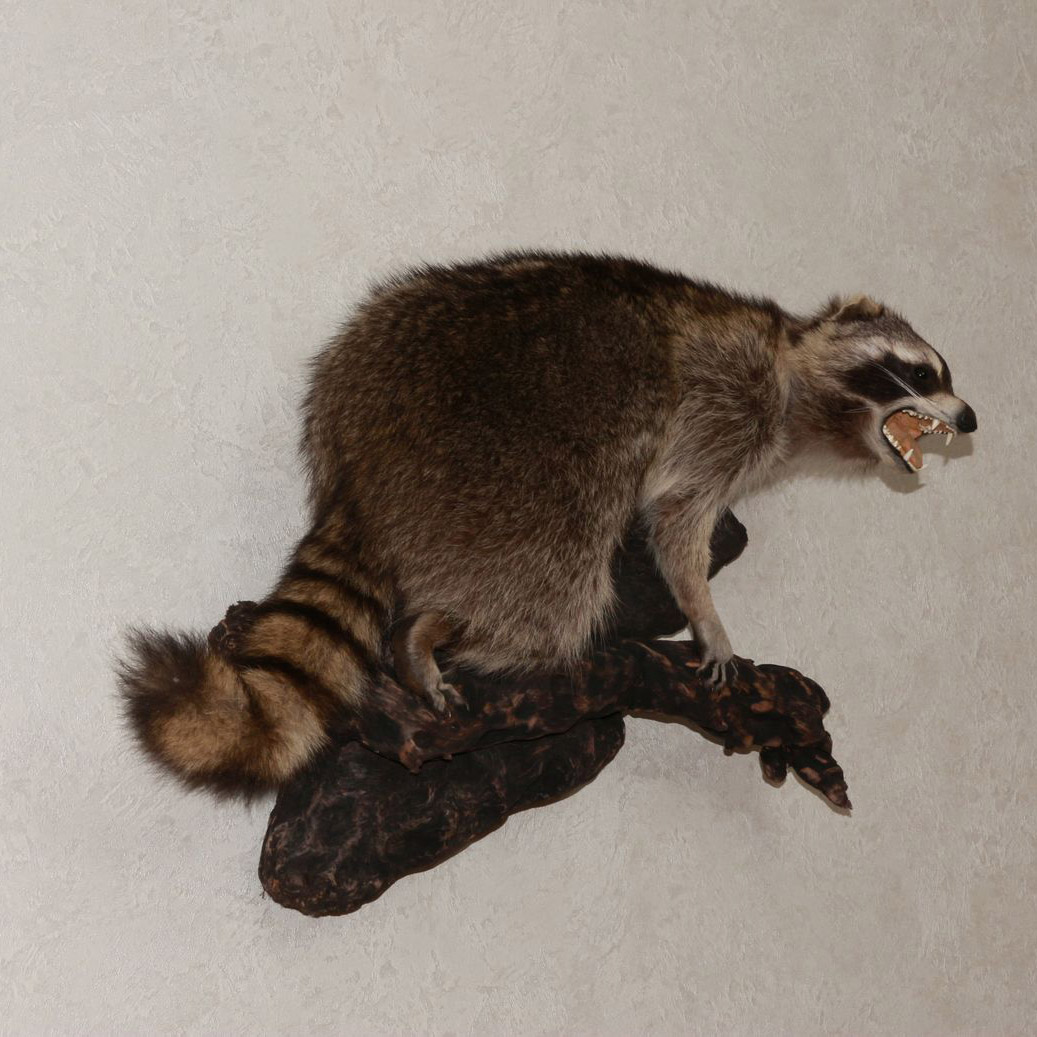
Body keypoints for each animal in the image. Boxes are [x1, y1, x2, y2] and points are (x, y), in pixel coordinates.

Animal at [118, 251, 976, 796]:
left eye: (946, 376)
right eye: (920, 372)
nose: (969, 417)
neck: (798, 375)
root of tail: (357, 458)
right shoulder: (728, 410)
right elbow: (676, 521)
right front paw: (707, 617)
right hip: (513, 477)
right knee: (553, 600)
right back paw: (438, 630)